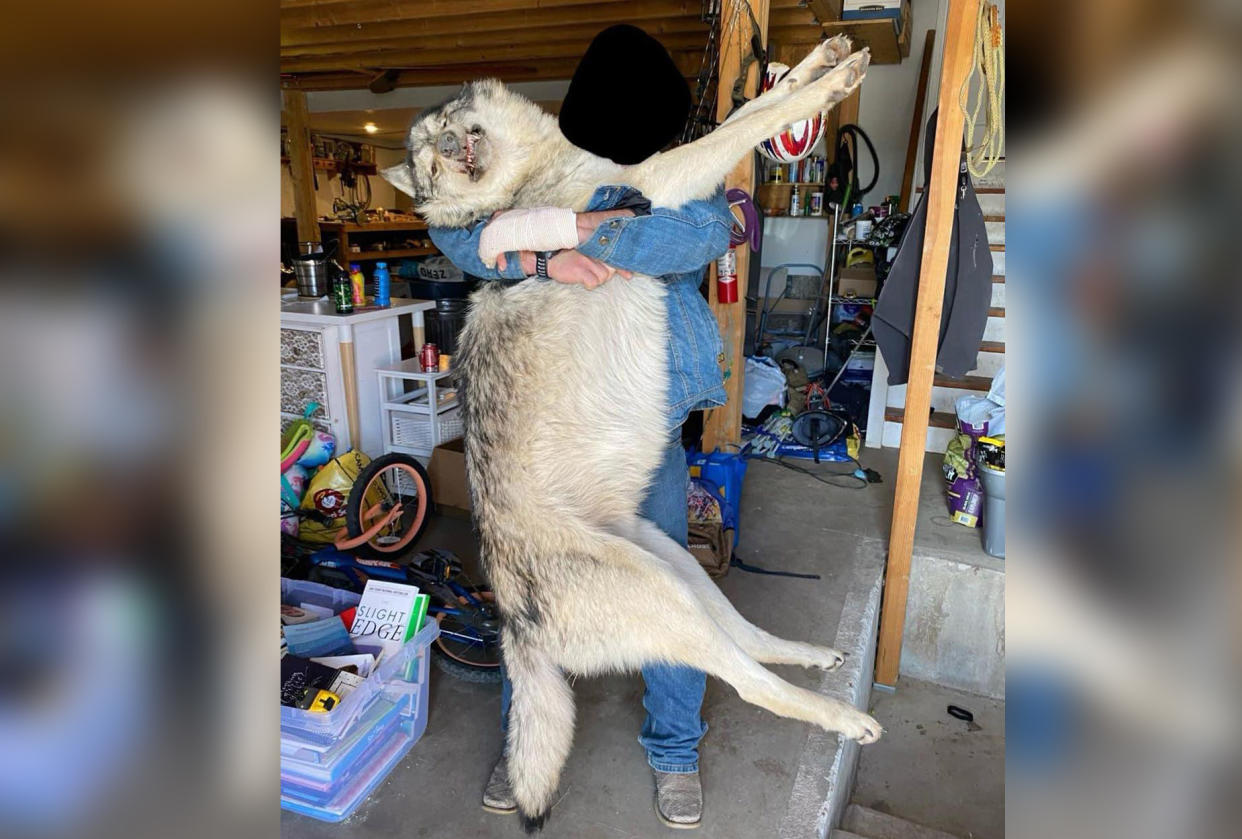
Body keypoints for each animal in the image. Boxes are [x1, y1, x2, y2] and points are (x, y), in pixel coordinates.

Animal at [382, 37, 879, 824]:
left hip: (678, 568)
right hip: (668, 594)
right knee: (747, 681)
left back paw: (808, 654)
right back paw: (844, 718)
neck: (525, 184)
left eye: (448, 128)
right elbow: (735, 131)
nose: (452, 149)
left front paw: (818, 65)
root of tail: (513, 625)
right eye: (428, 155)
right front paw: (823, 90)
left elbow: (750, 107)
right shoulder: (654, 182)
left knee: (746, 640)